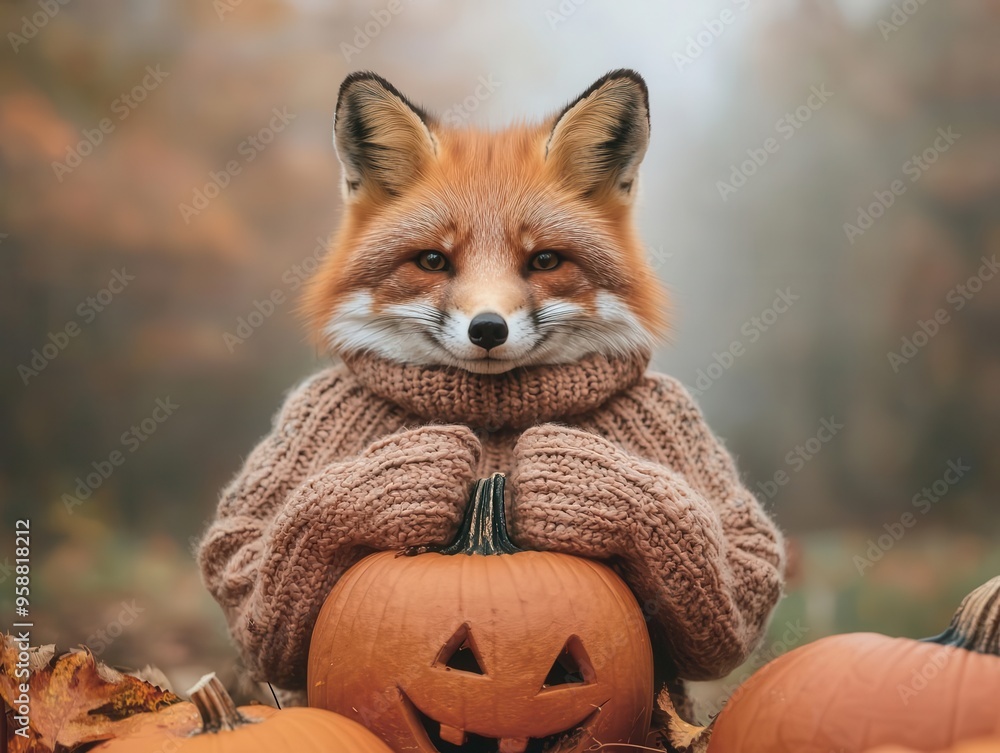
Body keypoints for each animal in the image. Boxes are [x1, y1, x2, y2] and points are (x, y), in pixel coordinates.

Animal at [198, 70, 784, 717]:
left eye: (544, 260)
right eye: (433, 260)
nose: (487, 330)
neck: (493, 416)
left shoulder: (671, 415)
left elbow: (743, 576)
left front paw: (572, 475)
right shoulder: (314, 413)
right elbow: (243, 567)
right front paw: (405, 476)